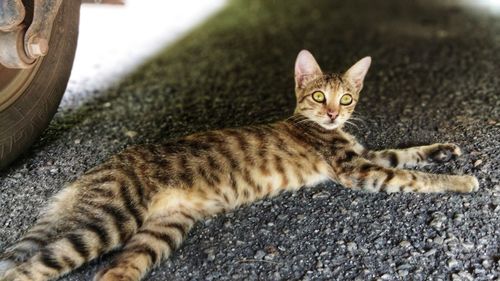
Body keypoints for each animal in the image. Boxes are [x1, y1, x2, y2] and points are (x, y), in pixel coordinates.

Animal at [0, 50, 478, 280]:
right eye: (318, 96)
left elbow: (406, 153)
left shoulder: (364, 157)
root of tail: (96, 169)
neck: (324, 128)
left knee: (112, 273)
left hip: (160, 232)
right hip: (109, 221)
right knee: (30, 268)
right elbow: (411, 176)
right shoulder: (358, 170)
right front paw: (462, 181)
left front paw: (444, 152)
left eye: (346, 98)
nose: (331, 115)